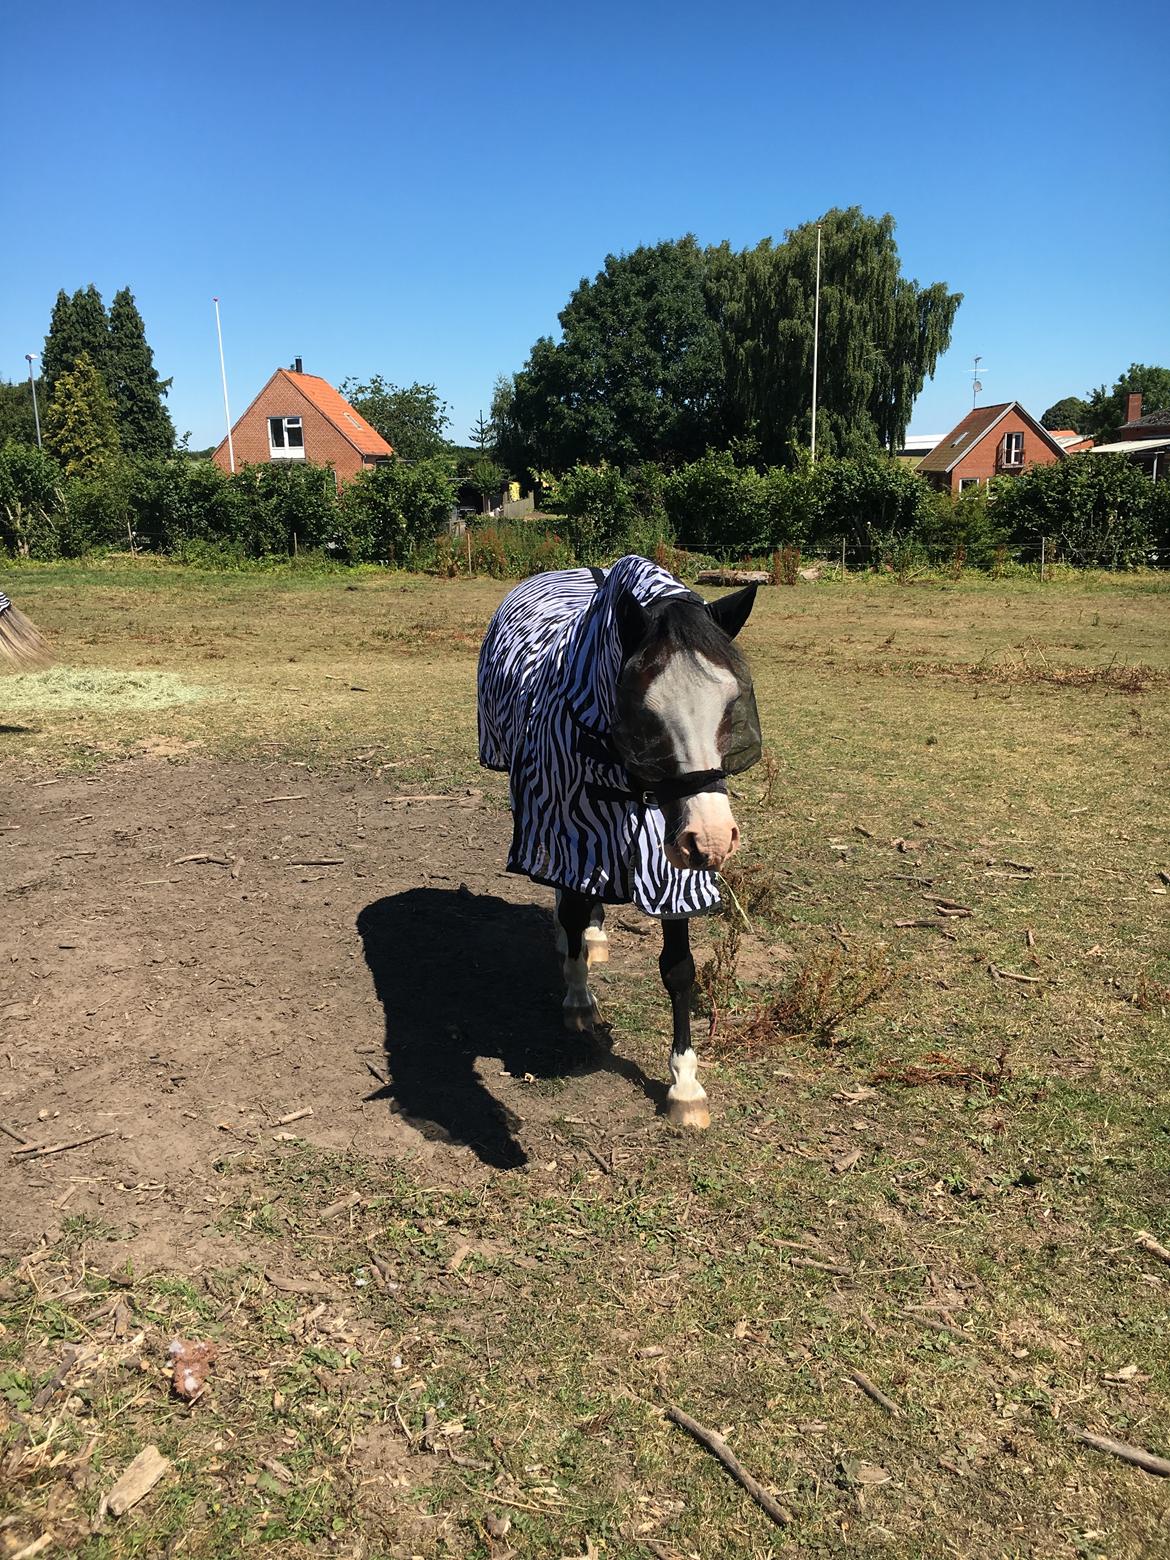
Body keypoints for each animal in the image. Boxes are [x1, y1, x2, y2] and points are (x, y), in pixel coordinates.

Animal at [480, 555, 764, 1129]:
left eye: (731, 705)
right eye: (645, 712)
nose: (714, 839)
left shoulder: (673, 862)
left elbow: (679, 969)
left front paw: (685, 1085)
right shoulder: (564, 825)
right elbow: (569, 902)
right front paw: (577, 999)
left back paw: (594, 936)